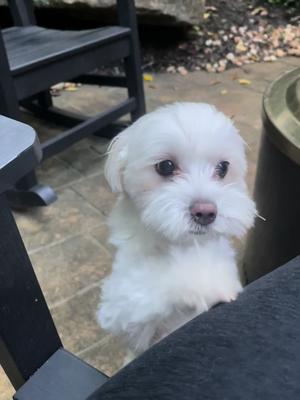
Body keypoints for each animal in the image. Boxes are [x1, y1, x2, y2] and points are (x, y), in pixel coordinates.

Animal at [98, 101, 255, 358]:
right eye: (165, 166)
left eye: (223, 168)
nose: (205, 212)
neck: (178, 243)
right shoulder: (120, 308)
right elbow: (156, 280)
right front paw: (208, 280)